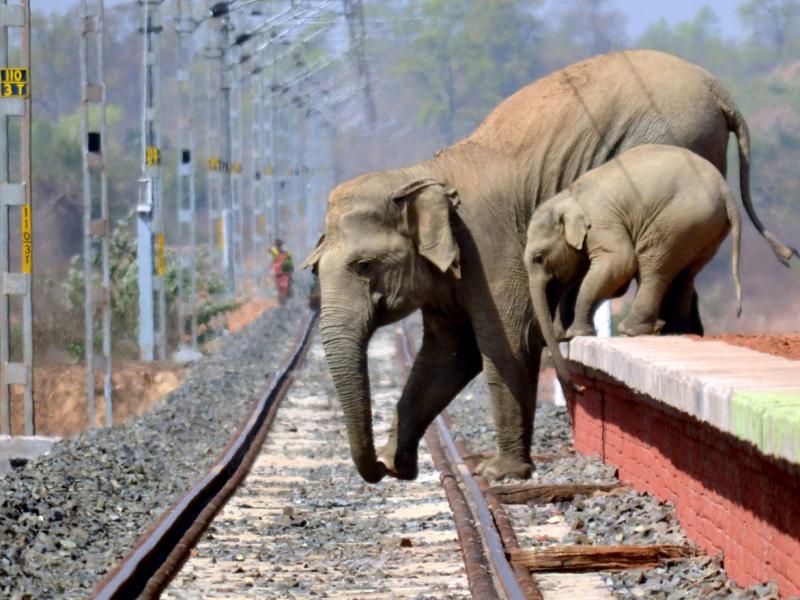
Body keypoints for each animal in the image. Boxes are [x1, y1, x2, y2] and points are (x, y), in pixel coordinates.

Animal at [524, 144, 743, 391]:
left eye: (539, 258)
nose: (580, 388)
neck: (568, 196)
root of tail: (726, 191)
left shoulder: (602, 223)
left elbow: (620, 264)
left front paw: (576, 333)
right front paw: (565, 333)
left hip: (678, 220)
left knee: (652, 265)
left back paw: (631, 330)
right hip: (705, 228)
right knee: (686, 274)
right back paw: (672, 330)